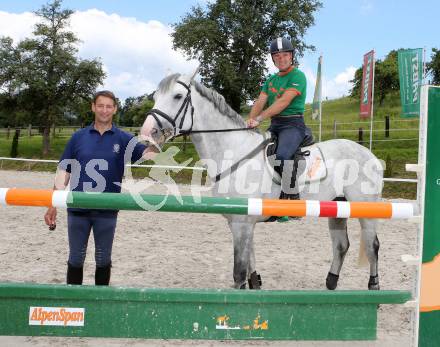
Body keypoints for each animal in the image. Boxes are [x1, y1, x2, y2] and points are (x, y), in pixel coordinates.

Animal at [140, 70, 382, 290]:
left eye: (178, 96)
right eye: (156, 96)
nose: (147, 133)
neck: (233, 151)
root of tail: (369, 154)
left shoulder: (242, 222)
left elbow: (238, 272)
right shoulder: (239, 222)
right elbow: (249, 264)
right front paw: (255, 284)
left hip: (365, 209)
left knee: (373, 247)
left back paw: (374, 286)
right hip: (338, 208)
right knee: (341, 246)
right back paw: (331, 283)